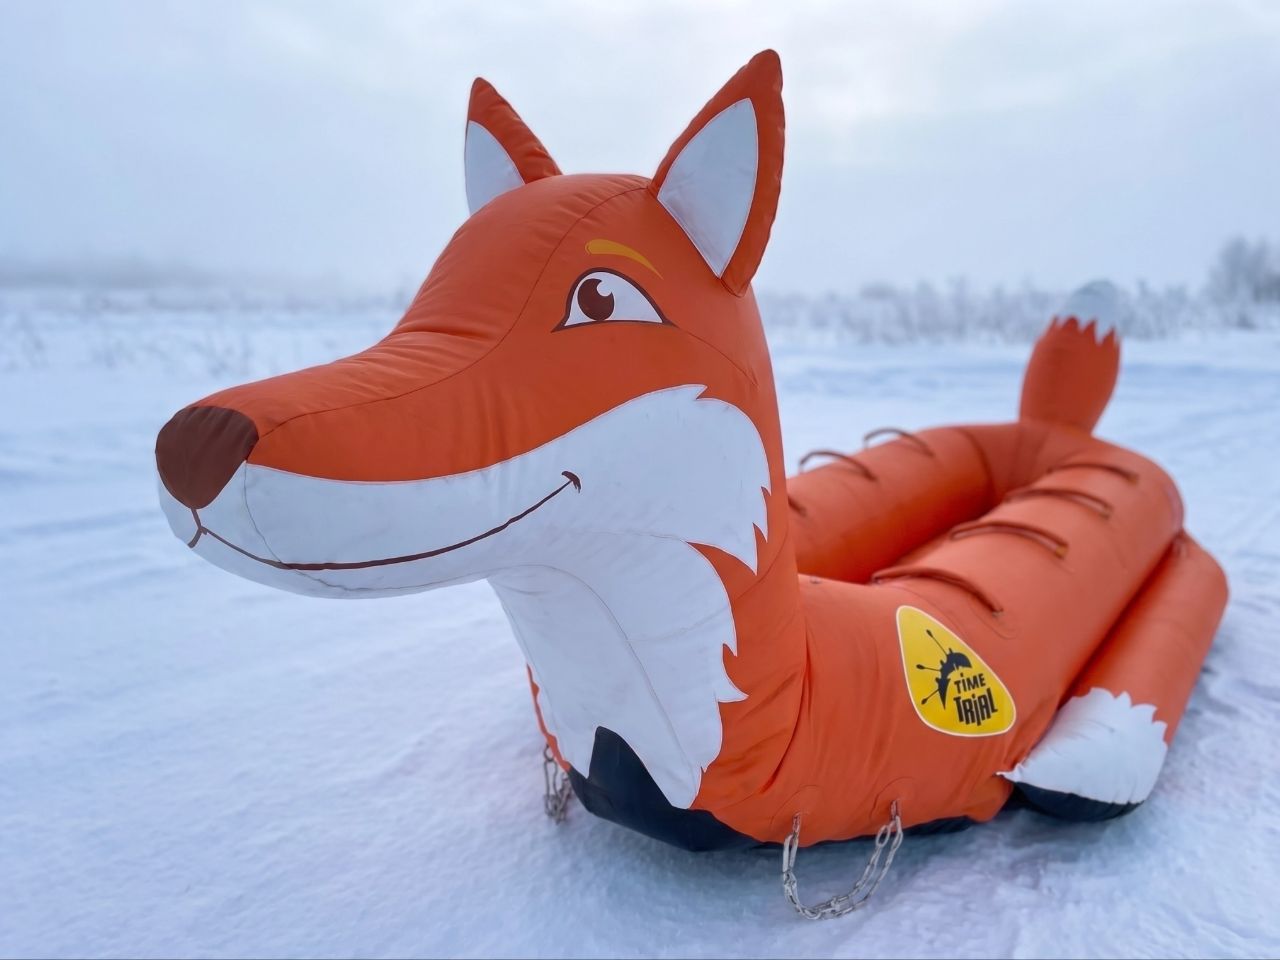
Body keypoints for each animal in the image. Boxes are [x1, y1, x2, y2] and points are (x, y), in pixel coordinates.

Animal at [156, 51, 1227, 871]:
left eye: (600, 299)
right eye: (437, 281)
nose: (193, 442)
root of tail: (1065, 433)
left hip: (1170, 564)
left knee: (1171, 621)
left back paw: (1094, 750)